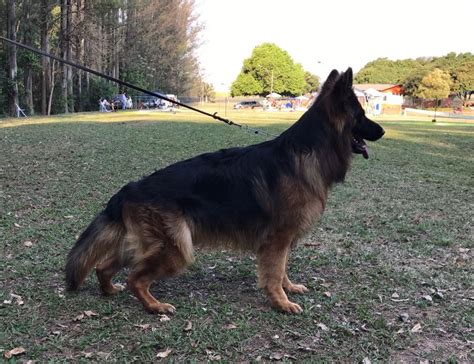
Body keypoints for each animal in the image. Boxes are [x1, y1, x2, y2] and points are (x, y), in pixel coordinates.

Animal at [65, 68, 386, 312]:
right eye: (360, 115)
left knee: (103, 267)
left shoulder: (282, 241)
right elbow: (274, 273)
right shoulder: (278, 239)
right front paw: (281, 303)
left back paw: (109, 290)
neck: (308, 151)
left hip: (142, 245)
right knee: (136, 278)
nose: (383, 131)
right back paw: (155, 307)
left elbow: (281, 270)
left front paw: (289, 288)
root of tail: (129, 189)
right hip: (177, 249)